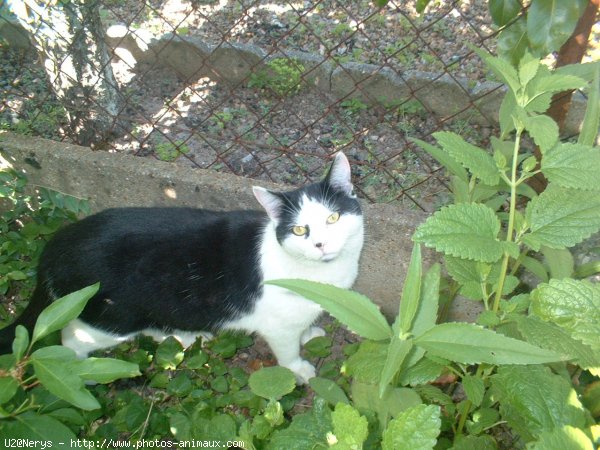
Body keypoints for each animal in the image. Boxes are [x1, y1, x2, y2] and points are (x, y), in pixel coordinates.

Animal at [0, 153, 364, 382]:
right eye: (299, 230)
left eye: (333, 218)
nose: (320, 244)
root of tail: (56, 243)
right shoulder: (277, 327)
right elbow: (287, 350)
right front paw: (299, 369)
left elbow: (303, 327)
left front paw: (310, 333)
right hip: (108, 319)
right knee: (69, 340)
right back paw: (82, 376)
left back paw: (184, 334)